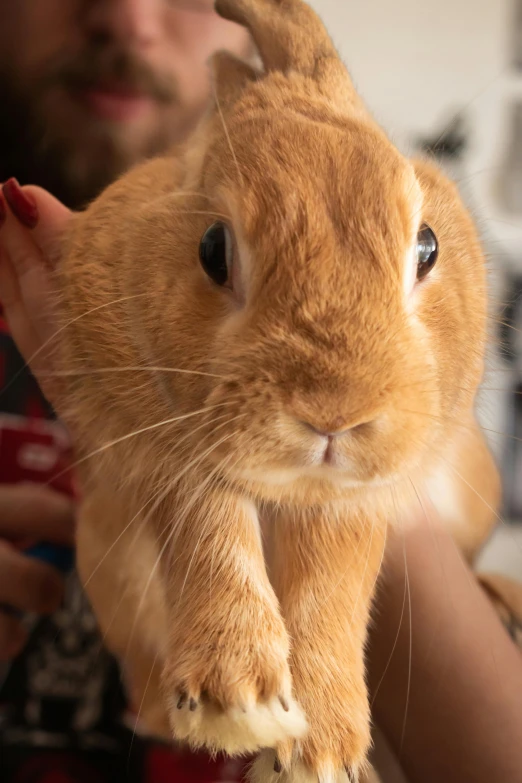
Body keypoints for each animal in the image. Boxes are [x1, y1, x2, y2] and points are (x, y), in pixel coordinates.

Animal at [49, 1, 500, 783]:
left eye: (428, 248)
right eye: (211, 249)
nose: (336, 411)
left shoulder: (358, 496)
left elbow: (333, 579)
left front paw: (322, 749)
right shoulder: (154, 444)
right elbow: (211, 529)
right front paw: (237, 706)